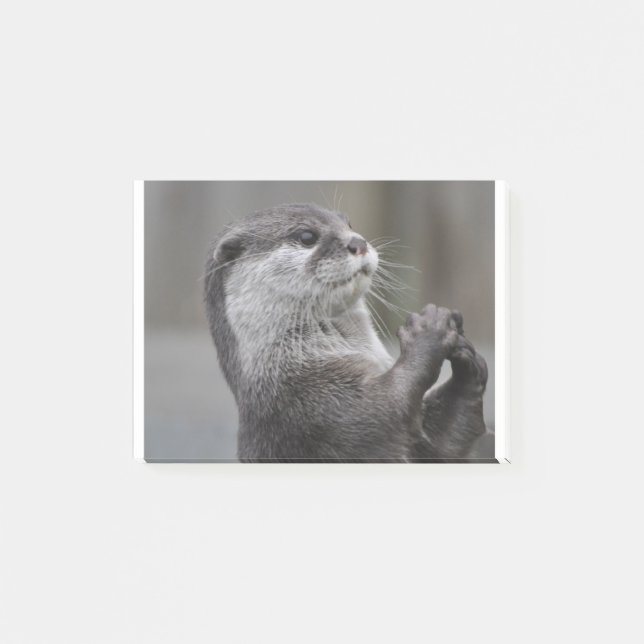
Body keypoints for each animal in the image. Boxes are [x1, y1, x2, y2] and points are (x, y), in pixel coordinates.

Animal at [204, 203, 488, 462]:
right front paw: (428, 330)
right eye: (307, 236)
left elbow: (451, 442)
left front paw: (467, 360)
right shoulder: (316, 409)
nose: (358, 242)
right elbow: (385, 406)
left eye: (348, 224)